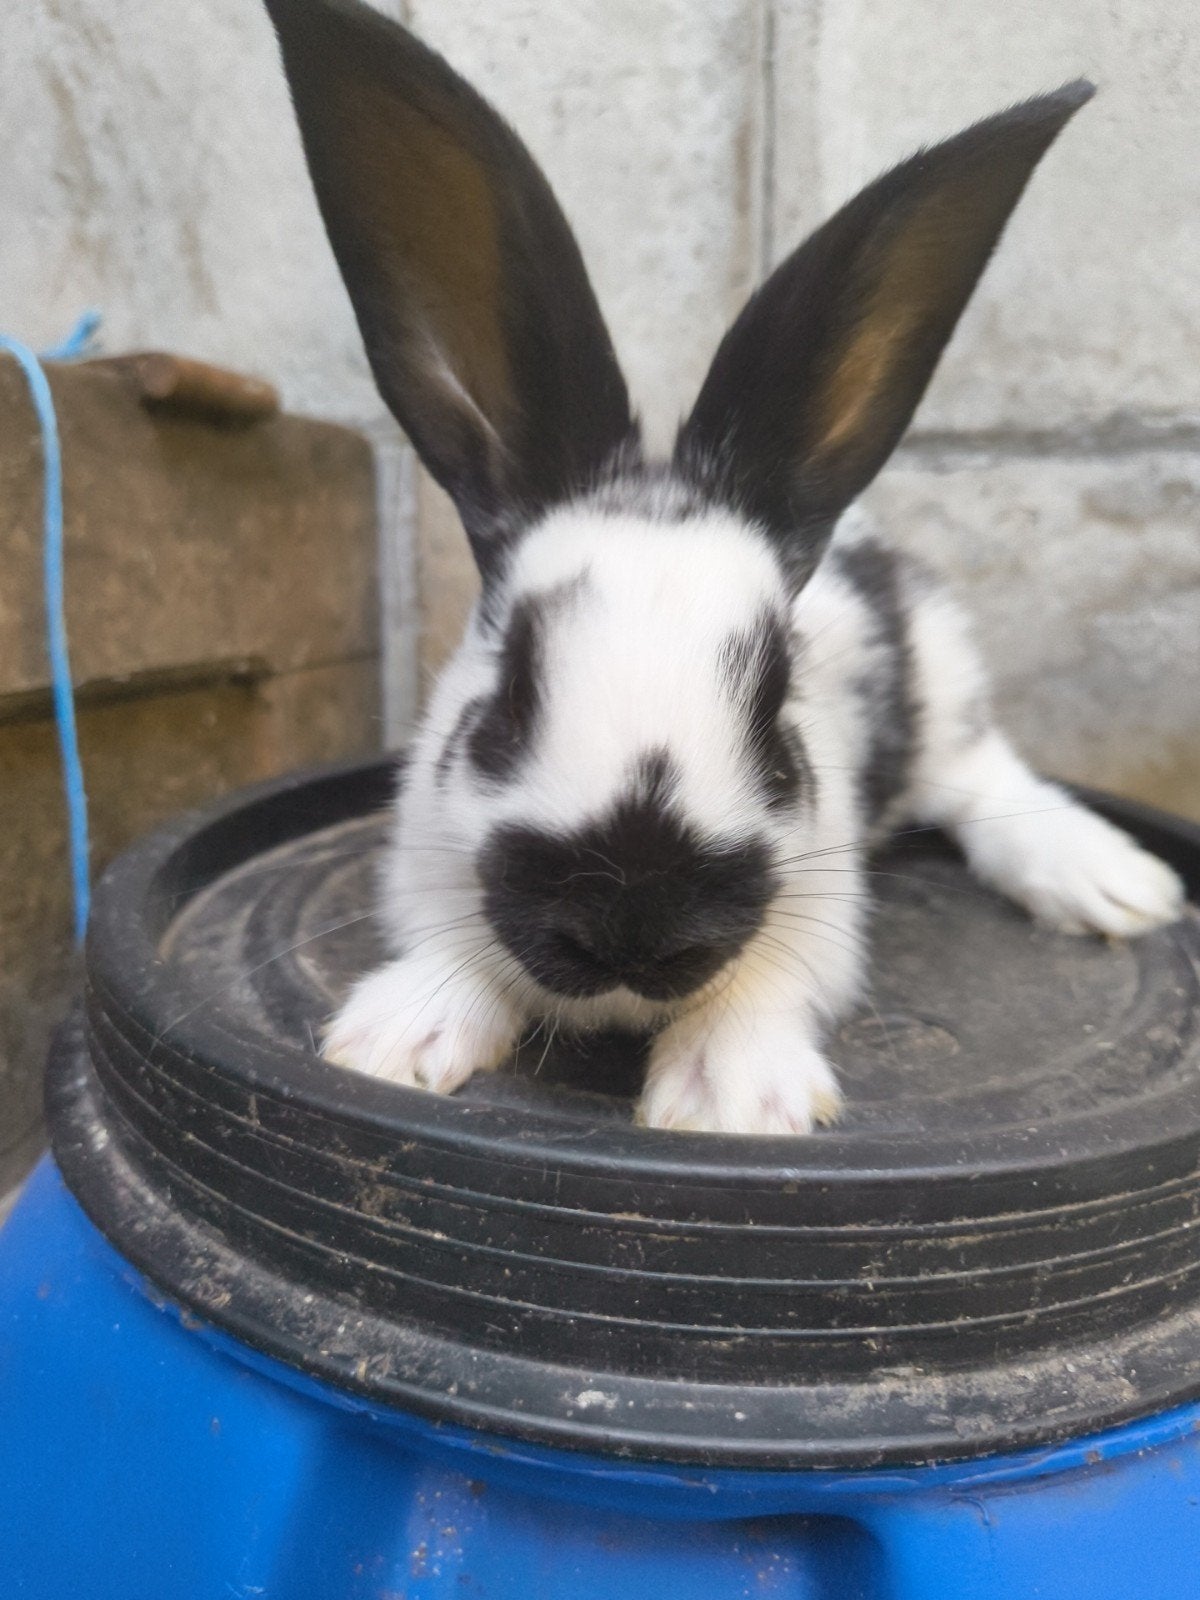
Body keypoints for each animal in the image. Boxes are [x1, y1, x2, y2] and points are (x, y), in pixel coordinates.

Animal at [267, 0, 1186, 1136]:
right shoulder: (424, 854)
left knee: (982, 776)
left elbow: (769, 983)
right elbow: (451, 951)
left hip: (941, 676)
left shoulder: (822, 899)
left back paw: (1114, 885)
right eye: (509, 696)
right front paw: (394, 1042)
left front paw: (728, 1099)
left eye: (776, 704)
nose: (633, 921)